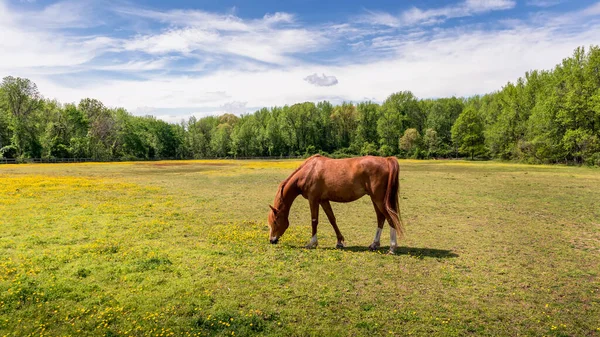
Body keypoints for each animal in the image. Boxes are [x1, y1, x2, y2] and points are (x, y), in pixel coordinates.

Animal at [266, 154, 404, 253]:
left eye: (275, 221)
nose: (272, 240)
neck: (309, 171)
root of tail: (386, 160)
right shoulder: (323, 200)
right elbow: (332, 219)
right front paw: (339, 242)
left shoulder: (313, 199)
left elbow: (314, 220)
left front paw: (312, 243)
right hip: (375, 199)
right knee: (381, 218)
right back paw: (374, 244)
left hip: (379, 200)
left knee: (391, 218)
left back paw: (392, 247)